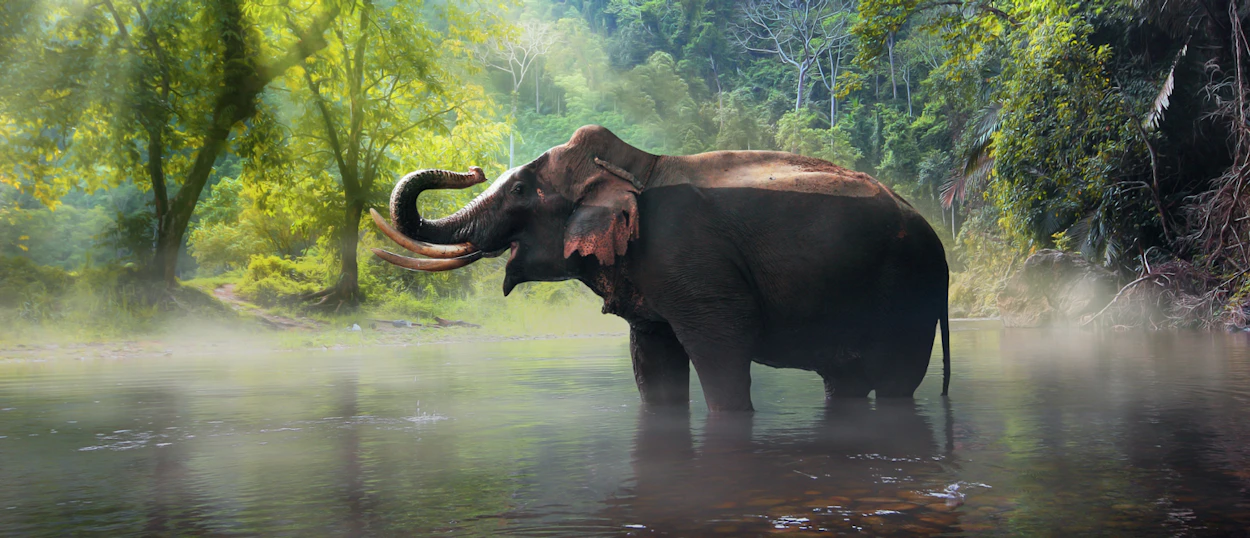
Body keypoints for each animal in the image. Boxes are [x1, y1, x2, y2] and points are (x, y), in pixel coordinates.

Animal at [371, 125, 950, 412]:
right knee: (845, 381)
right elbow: (651, 360)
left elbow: (723, 350)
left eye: (518, 189)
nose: (473, 168)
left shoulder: (695, 265)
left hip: (911, 291)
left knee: (897, 382)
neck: (637, 166)